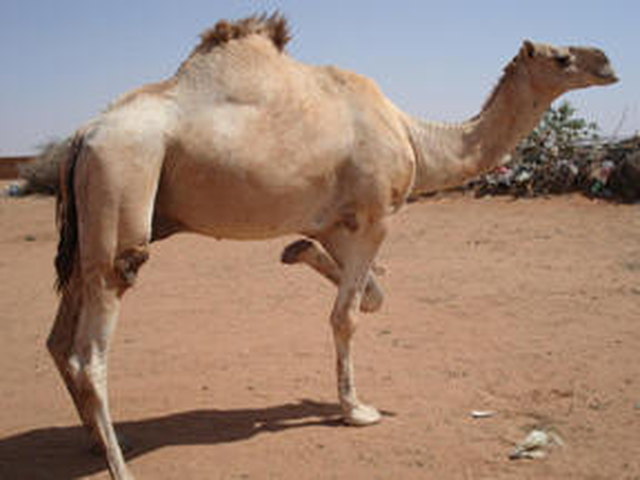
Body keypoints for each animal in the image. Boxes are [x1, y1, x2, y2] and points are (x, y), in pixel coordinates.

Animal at [46, 13, 617, 479]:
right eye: (561, 57)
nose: (608, 62)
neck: (416, 136)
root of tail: (82, 135)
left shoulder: (334, 223)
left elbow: (372, 295)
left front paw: (294, 252)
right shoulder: (376, 215)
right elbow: (347, 315)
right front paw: (356, 411)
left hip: (89, 225)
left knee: (58, 336)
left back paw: (102, 443)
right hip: (123, 180)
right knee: (92, 345)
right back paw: (120, 465)